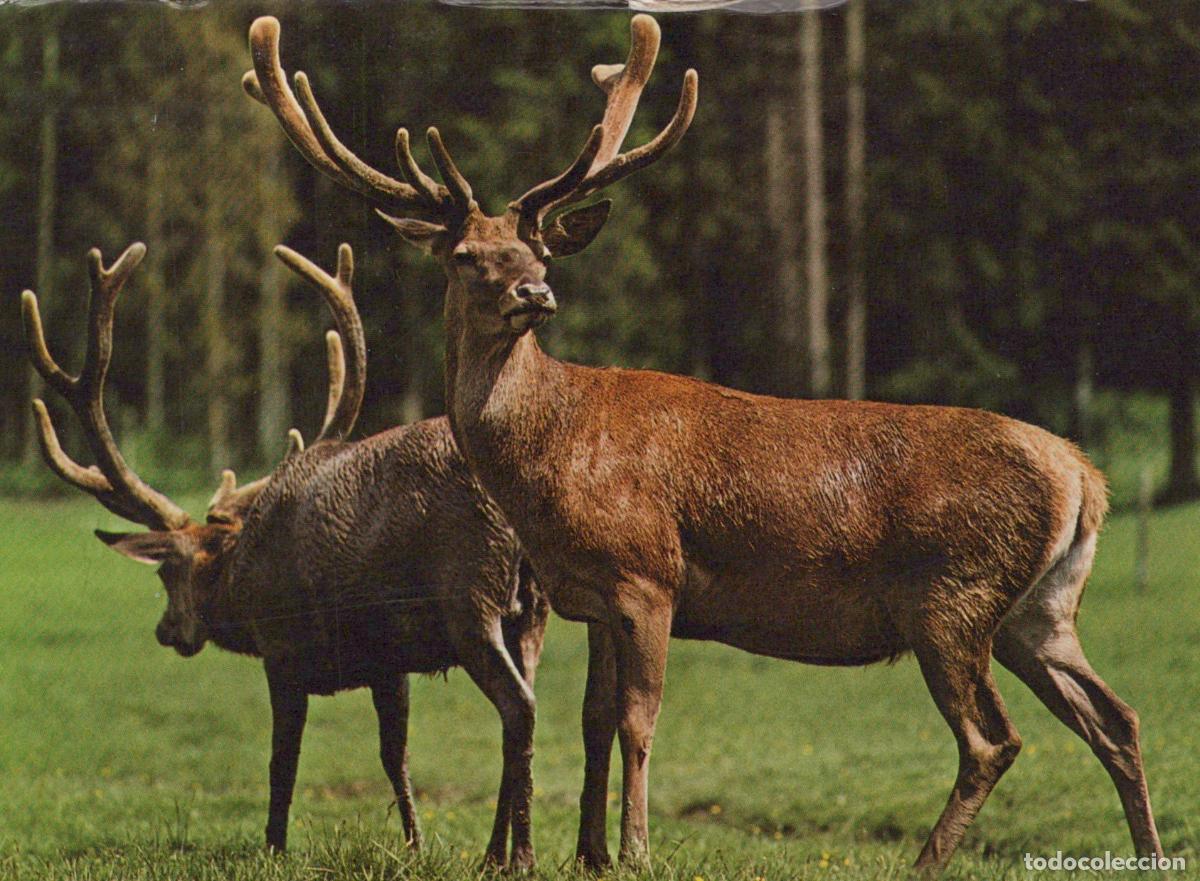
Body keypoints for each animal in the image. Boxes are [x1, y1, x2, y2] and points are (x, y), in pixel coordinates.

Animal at [21, 240, 548, 869]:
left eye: (169, 572)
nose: (166, 630)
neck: (239, 576)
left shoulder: (282, 647)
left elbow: (282, 761)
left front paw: (273, 844)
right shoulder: (388, 663)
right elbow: (394, 755)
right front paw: (415, 844)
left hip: (471, 599)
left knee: (519, 709)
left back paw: (518, 856)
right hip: (531, 612)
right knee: (523, 707)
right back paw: (496, 852)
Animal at [243, 13, 1163, 874]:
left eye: (538, 248)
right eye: (467, 255)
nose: (534, 293)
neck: (549, 458)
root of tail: (1086, 477)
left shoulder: (648, 571)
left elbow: (638, 720)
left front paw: (636, 848)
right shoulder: (590, 595)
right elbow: (593, 720)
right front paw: (589, 851)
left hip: (952, 595)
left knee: (992, 739)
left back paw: (925, 860)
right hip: (1039, 609)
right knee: (1116, 716)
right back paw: (1148, 850)